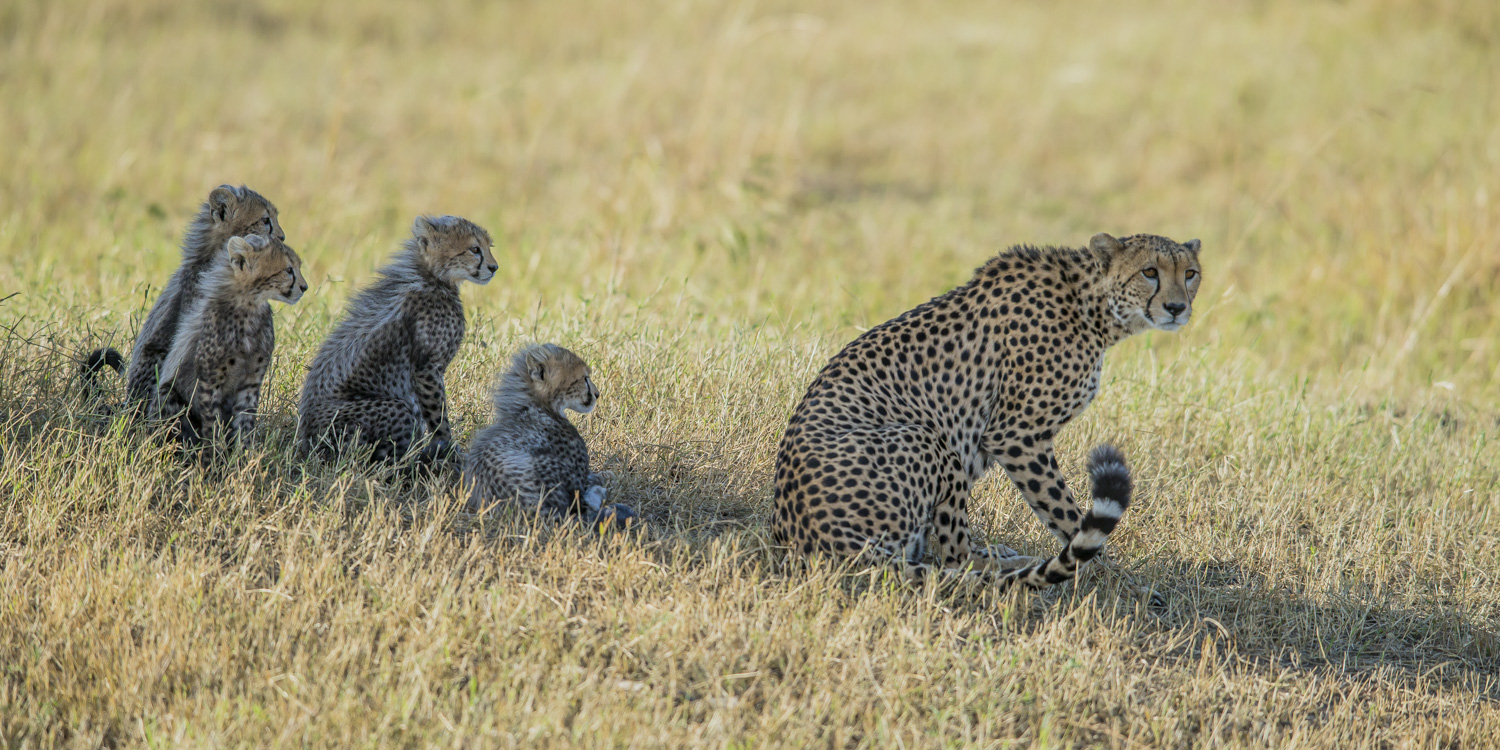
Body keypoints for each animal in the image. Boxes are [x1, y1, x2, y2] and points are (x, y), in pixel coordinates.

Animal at [780, 231, 1200, 588]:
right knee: (956, 556)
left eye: (1190, 273)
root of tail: (807, 534)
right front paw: (1117, 575)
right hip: (926, 437)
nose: (1177, 308)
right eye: (1149, 272)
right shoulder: (1016, 436)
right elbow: (1062, 510)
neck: (1090, 305)